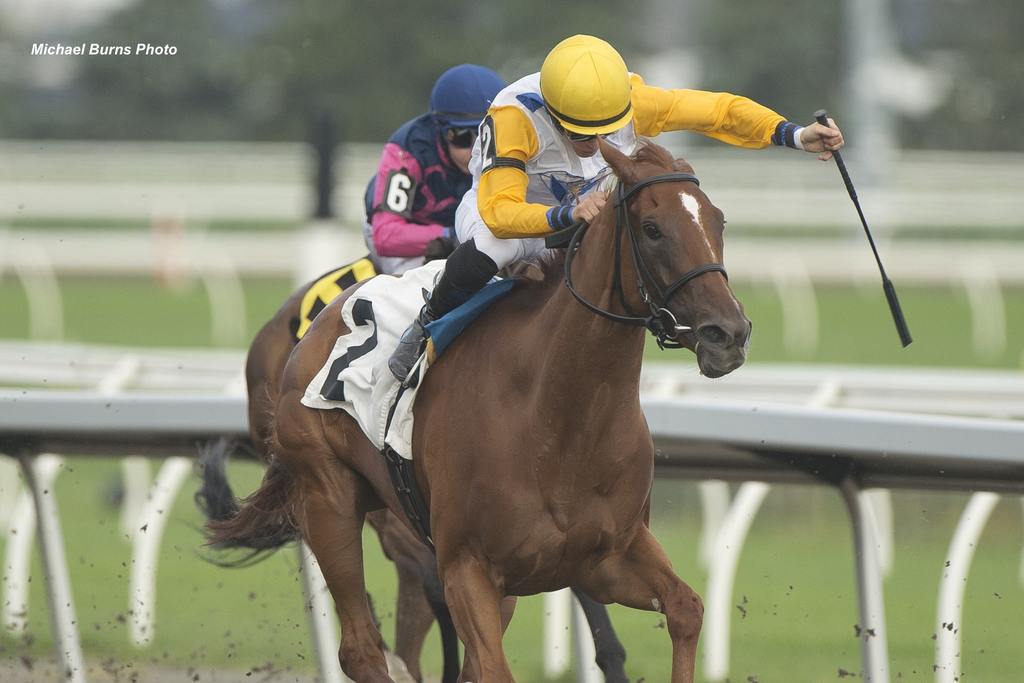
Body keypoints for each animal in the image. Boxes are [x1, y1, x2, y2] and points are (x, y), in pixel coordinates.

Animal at [209, 140, 753, 683]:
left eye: (719, 221)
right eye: (653, 228)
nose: (727, 333)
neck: (557, 420)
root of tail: (313, 325)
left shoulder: (605, 558)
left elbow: (685, 608)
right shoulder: (466, 568)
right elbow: (486, 661)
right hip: (330, 497)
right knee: (361, 648)